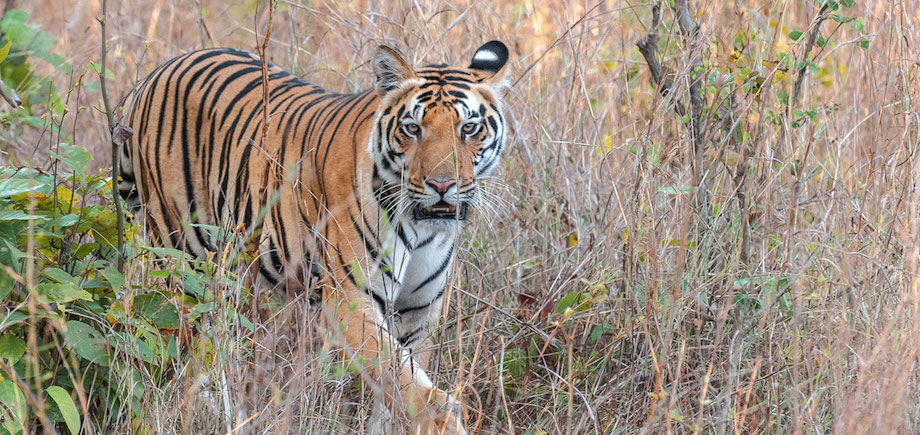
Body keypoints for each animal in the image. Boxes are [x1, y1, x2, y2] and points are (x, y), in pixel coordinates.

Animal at [115, 40, 511, 434]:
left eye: (469, 128)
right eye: (413, 128)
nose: (442, 185)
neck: (422, 226)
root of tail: (154, 73)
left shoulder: (418, 311)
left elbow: (395, 391)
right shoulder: (350, 301)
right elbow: (403, 381)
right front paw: (440, 419)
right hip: (185, 260)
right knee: (189, 348)